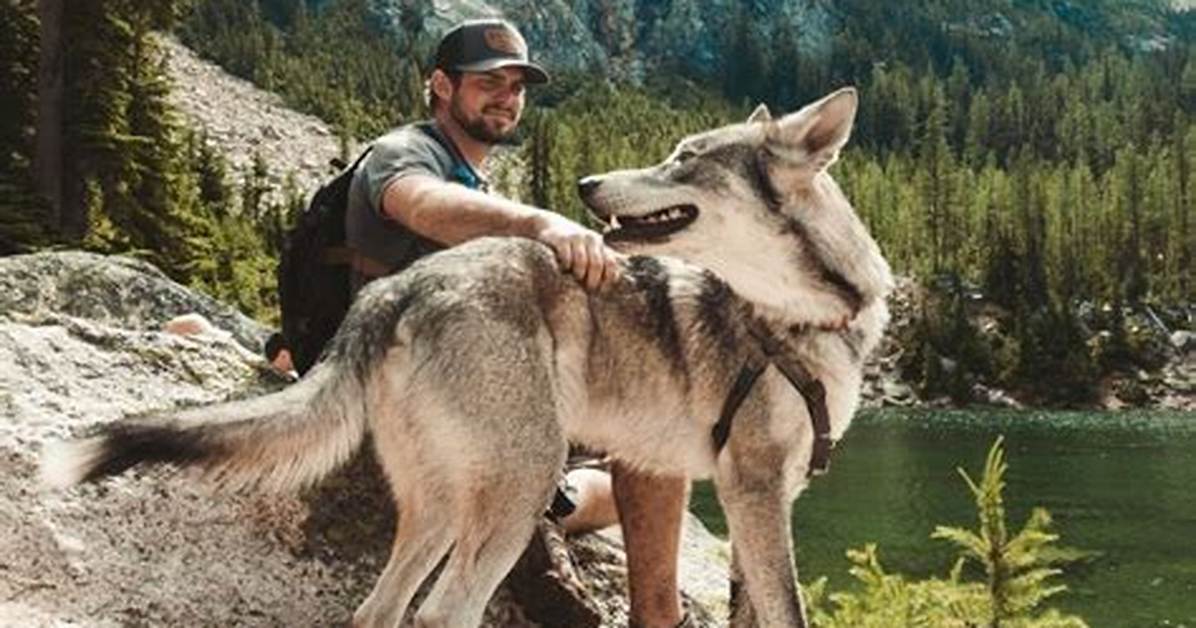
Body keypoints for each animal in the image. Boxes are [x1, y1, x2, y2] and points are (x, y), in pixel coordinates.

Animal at [41, 87, 893, 627]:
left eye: (685, 158)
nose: (586, 182)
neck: (807, 316)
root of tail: (394, 292)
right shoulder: (751, 492)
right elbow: (790, 611)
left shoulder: (762, 499)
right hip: (523, 487)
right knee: (445, 612)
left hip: (444, 507)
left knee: (380, 612)